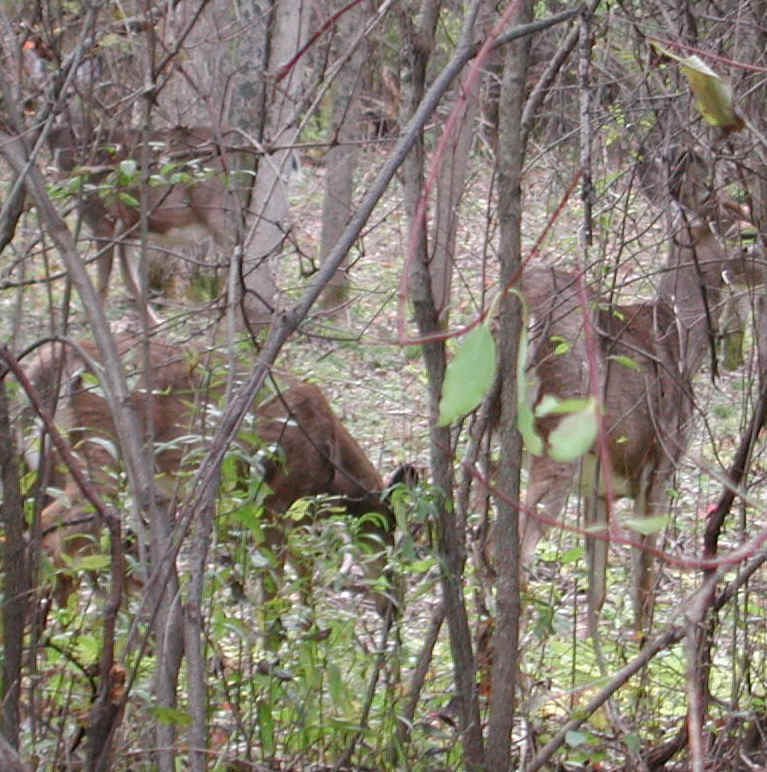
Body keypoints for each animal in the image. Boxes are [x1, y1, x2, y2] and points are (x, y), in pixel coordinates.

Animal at [24, 334, 415, 608]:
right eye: (387, 529)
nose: (394, 604)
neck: (329, 460)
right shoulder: (275, 499)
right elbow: (277, 580)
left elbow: (297, 567)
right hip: (101, 457)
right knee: (50, 533)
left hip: (57, 464)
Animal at [47, 125, 276, 326]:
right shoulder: (127, 229)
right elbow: (131, 280)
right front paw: (154, 324)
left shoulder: (105, 222)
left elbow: (104, 282)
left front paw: (94, 322)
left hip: (218, 210)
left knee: (247, 259)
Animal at [517, 159, 764, 632]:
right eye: (744, 233)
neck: (678, 340)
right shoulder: (660, 463)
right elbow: (643, 588)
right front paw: (638, 650)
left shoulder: (598, 486)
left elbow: (596, 592)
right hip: (558, 433)